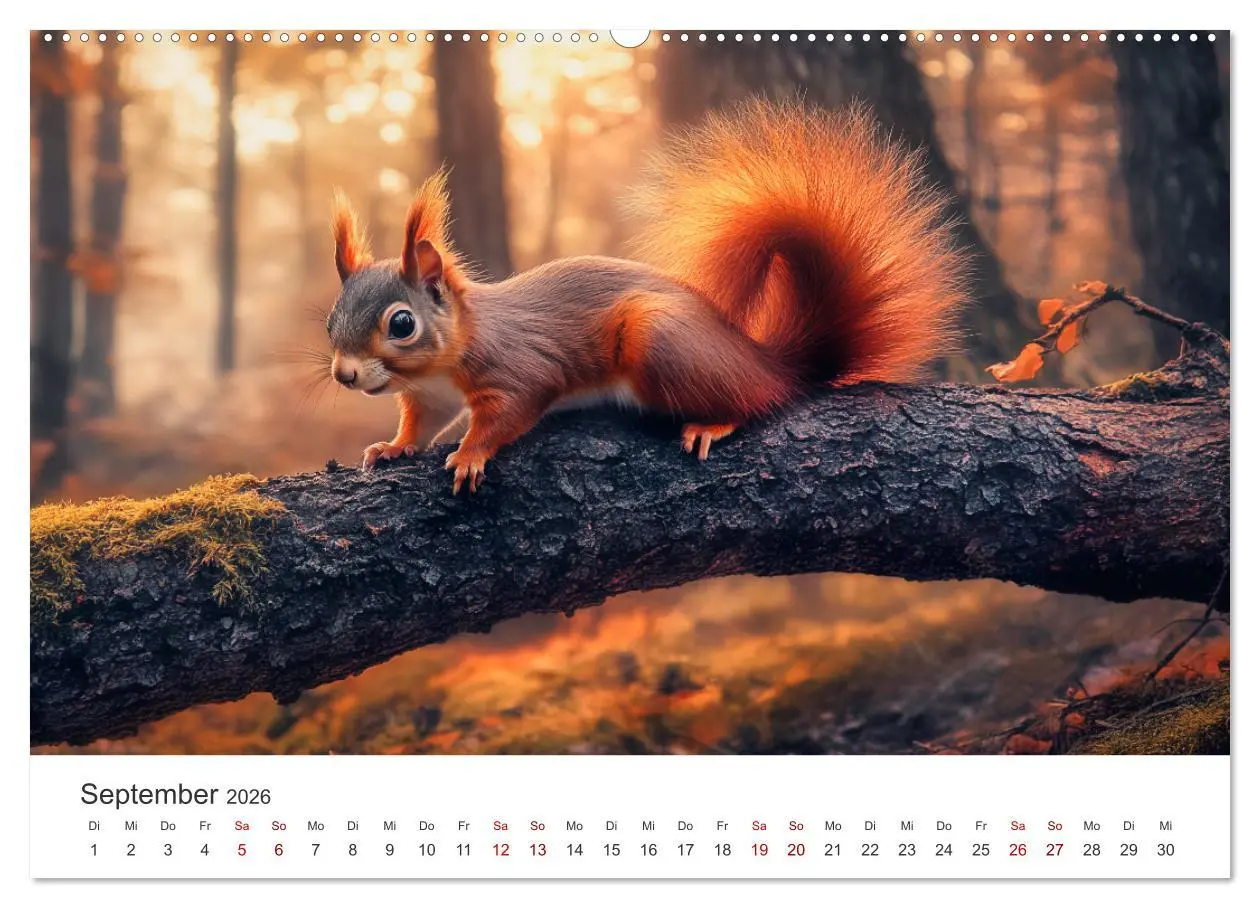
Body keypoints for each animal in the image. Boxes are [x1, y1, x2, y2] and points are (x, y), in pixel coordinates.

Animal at [325, 99, 967, 493]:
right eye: (330, 320)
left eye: (401, 324)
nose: (344, 376)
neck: (445, 359)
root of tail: (765, 361)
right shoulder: (428, 396)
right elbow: (420, 424)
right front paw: (393, 447)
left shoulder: (517, 367)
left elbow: (508, 411)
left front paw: (470, 454)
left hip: (661, 340)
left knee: (754, 401)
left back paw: (715, 423)